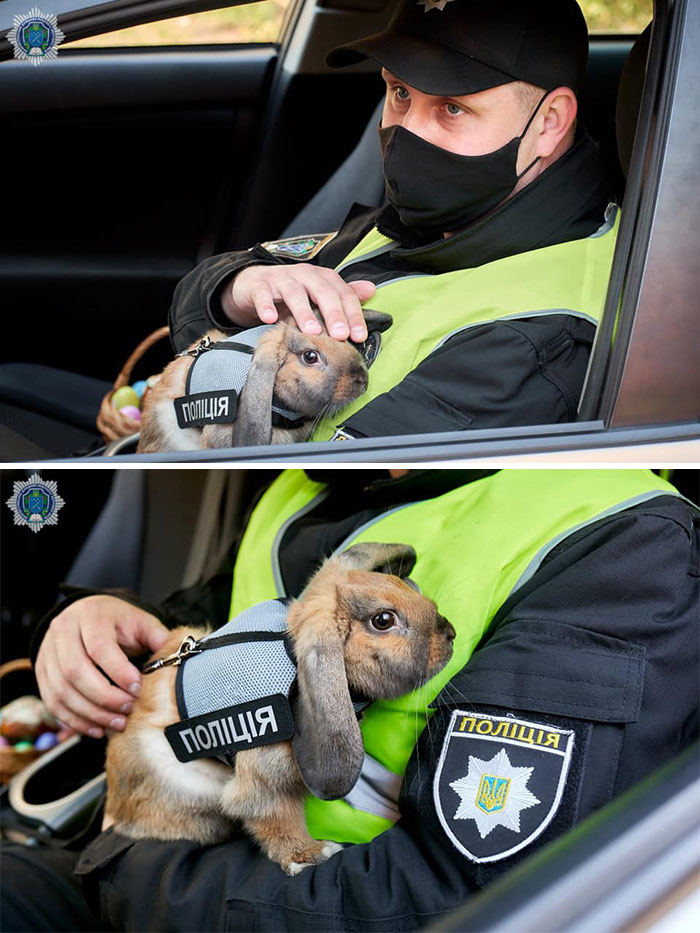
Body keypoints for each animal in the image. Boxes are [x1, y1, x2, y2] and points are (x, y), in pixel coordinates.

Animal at [104, 543, 455, 875]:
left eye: (404, 584)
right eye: (383, 620)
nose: (450, 633)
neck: (288, 658)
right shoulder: (264, 781)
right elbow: (272, 818)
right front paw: (312, 855)